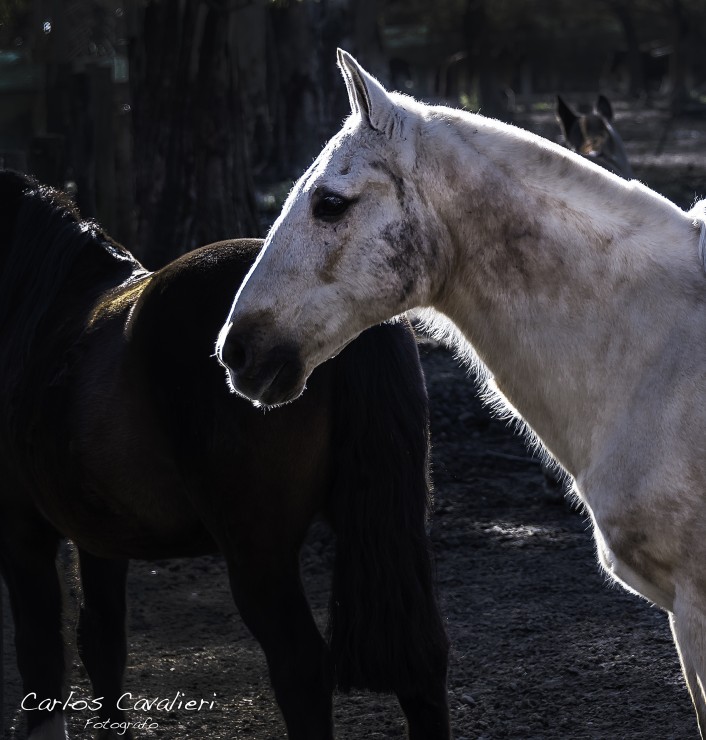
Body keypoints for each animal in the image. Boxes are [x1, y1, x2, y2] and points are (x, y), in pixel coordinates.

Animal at [0, 172, 448, 740]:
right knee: (422, 667)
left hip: (258, 553)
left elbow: (41, 656)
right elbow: (101, 644)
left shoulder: (23, 534)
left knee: (301, 668)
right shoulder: (98, 534)